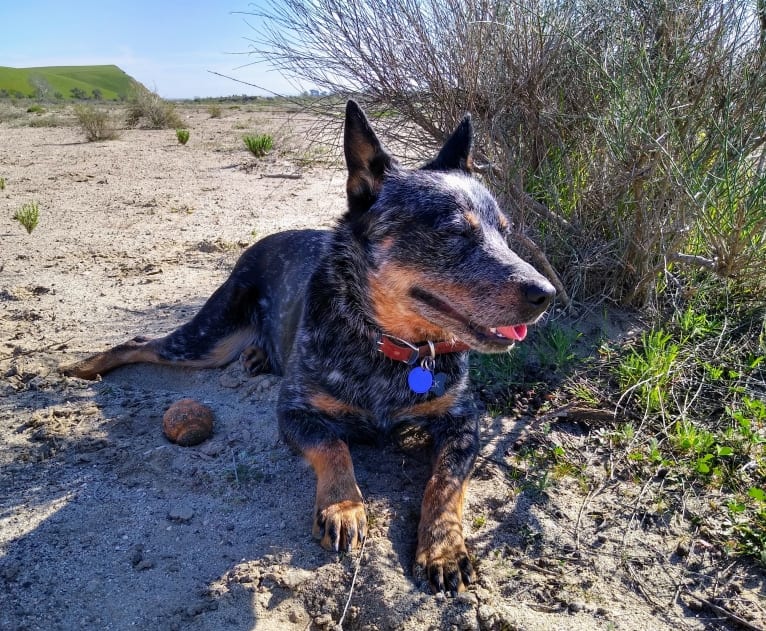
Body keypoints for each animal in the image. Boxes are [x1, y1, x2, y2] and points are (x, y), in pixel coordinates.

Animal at [60, 101, 552, 596]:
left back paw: (257, 356)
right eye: (454, 233)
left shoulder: (463, 421)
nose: (545, 293)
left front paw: (444, 547)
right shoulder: (295, 413)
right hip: (206, 339)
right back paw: (81, 367)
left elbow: (446, 481)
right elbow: (333, 445)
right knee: (142, 342)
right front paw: (344, 507)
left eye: (505, 232)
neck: (392, 346)